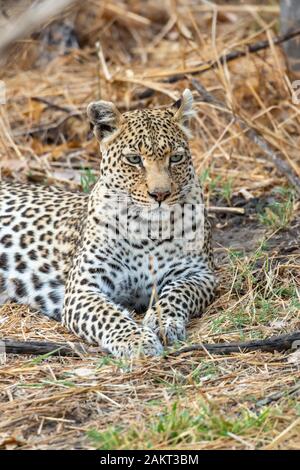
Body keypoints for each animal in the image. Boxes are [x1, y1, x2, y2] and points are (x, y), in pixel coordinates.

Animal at [0, 90, 216, 358]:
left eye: (175, 158)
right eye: (134, 159)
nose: (160, 195)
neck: (147, 230)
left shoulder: (200, 275)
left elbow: (176, 293)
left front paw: (162, 321)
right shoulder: (83, 289)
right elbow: (111, 316)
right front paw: (138, 341)